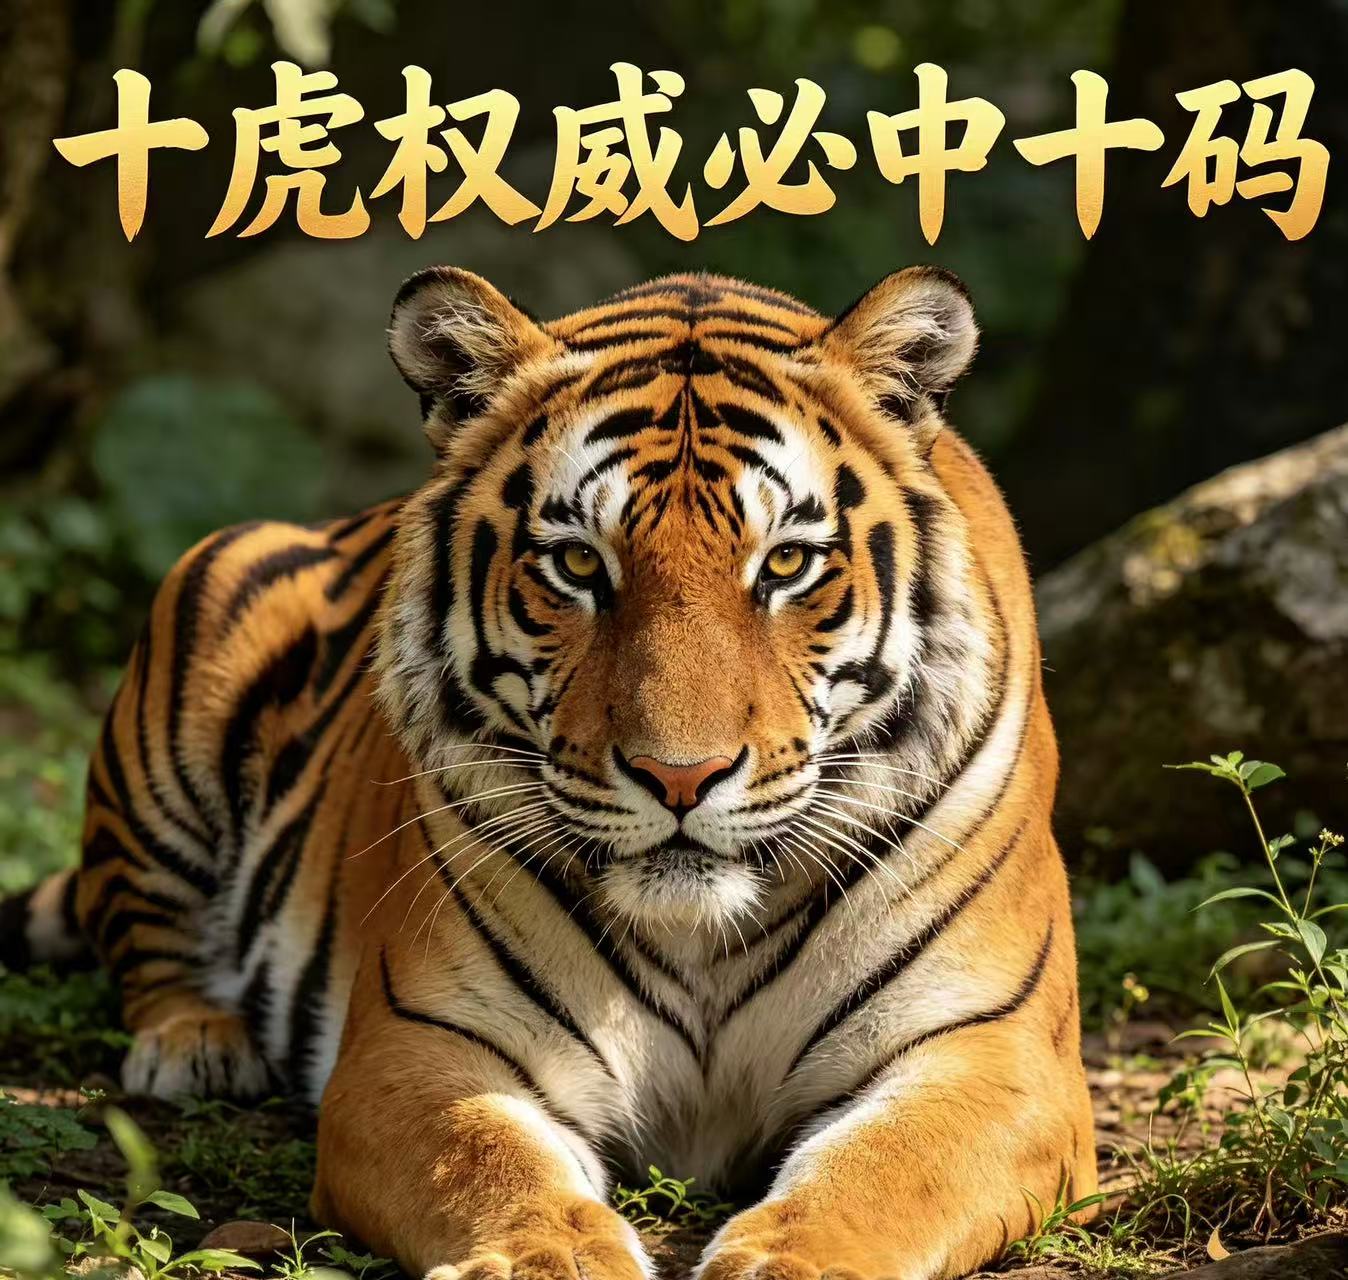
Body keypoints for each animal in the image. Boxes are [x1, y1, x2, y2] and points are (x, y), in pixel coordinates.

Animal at [1, 264, 1096, 1280]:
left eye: (785, 564)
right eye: (577, 564)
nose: (680, 776)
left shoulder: (994, 1053)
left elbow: (883, 1174)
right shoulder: (423, 1045)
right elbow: (494, 1166)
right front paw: (554, 1257)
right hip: (197, 627)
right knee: (140, 933)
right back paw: (198, 1041)